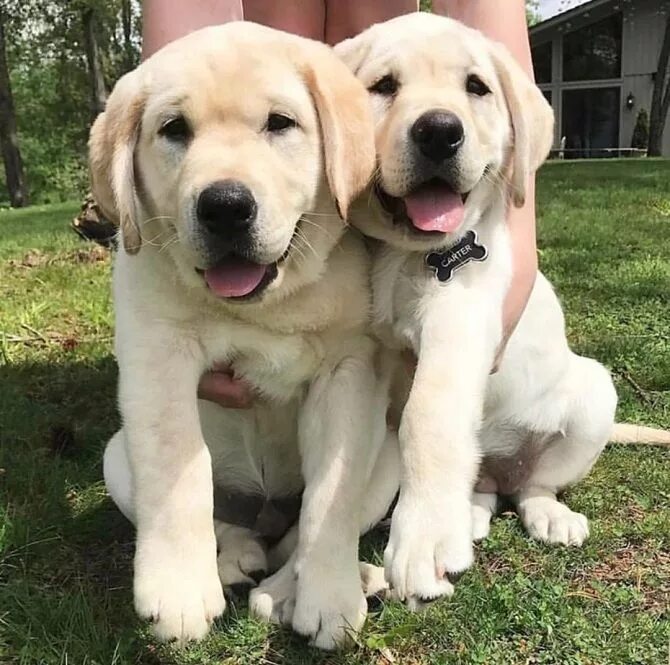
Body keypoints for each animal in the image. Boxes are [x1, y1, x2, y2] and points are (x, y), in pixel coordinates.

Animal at [94, 23, 400, 644]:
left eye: (280, 123)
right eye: (174, 130)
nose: (225, 206)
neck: (266, 307)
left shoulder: (349, 370)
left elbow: (330, 499)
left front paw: (330, 598)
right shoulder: (157, 353)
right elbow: (178, 467)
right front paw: (178, 589)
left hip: (390, 459)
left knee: (297, 536)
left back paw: (310, 586)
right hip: (117, 460)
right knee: (227, 523)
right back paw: (234, 559)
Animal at [338, 14, 624, 608]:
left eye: (476, 87)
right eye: (383, 86)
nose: (439, 131)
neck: (403, 254)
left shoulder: (461, 319)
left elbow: (429, 415)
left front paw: (421, 538)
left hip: (593, 397)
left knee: (531, 485)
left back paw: (548, 515)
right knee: (488, 489)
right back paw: (468, 513)